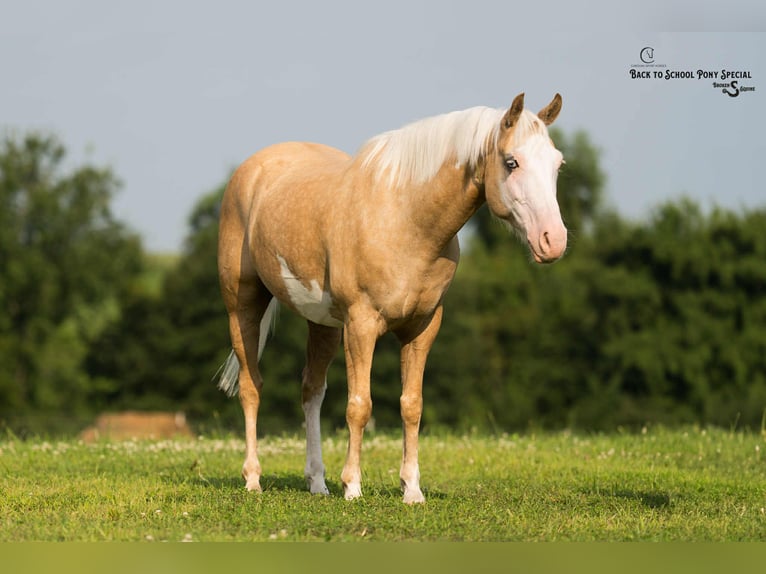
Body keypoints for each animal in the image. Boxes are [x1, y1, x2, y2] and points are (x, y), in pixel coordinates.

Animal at [216, 93, 567, 504]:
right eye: (512, 162)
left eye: (557, 163)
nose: (553, 241)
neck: (406, 218)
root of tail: (251, 170)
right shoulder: (361, 325)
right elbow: (359, 405)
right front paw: (353, 486)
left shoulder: (422, 327)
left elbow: (411, 405)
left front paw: (411, 489)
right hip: (243, 307)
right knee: (251, 387)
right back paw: (253, 478)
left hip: (322, 323)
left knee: (312, 391)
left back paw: (317, 483)